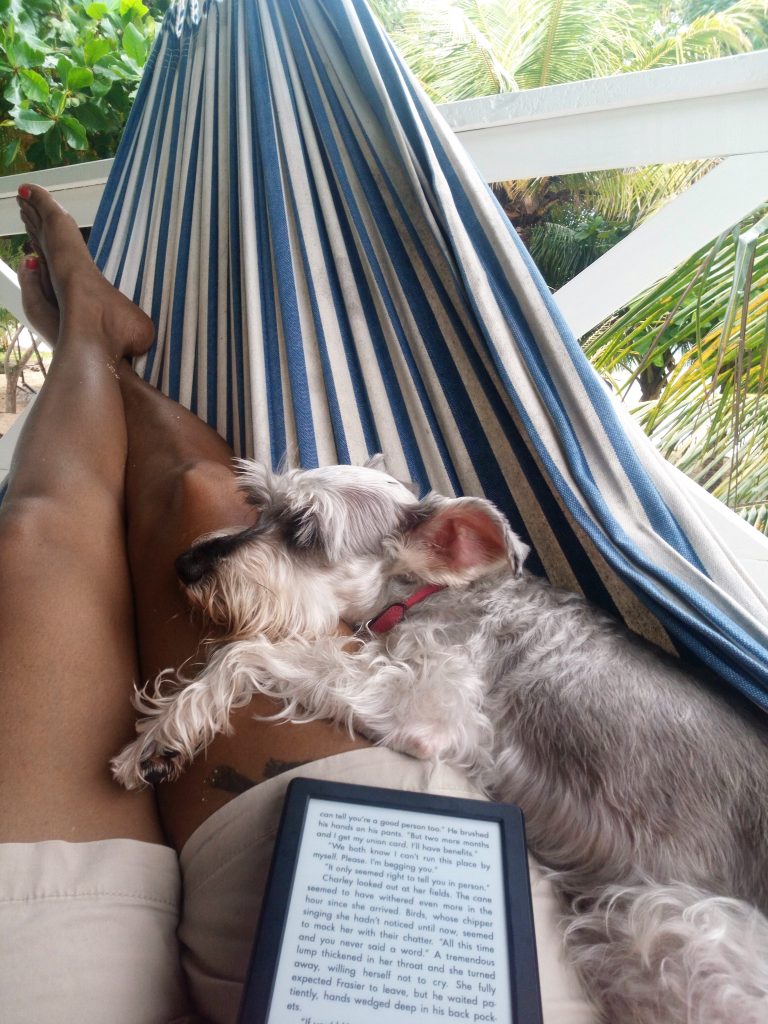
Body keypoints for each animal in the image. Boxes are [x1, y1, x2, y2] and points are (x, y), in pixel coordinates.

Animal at [112, 458, 768, 1024]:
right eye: (257, 503)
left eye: (303, 529)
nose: (185, 565)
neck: (430, 589)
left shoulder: (428, 701)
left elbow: (249, 651)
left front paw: (162, 735)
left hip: (670, 926)